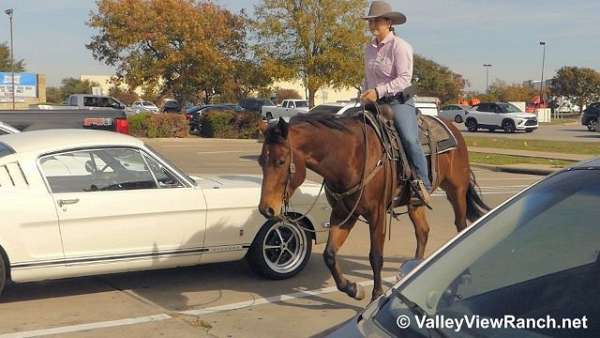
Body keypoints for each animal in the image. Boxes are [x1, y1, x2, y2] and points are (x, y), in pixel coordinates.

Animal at [256, 113, 488, 302]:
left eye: (281, 161)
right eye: (260, 161)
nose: (266, 209)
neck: (351, 157)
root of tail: (454, 128)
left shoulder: (377, 214)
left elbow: (375, 256)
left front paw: (376, 295)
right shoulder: (342, 214)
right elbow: (329, 254)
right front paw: (353, 289)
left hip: (456, 190)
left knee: (461, 225)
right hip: (415, 203)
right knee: (422, 231)